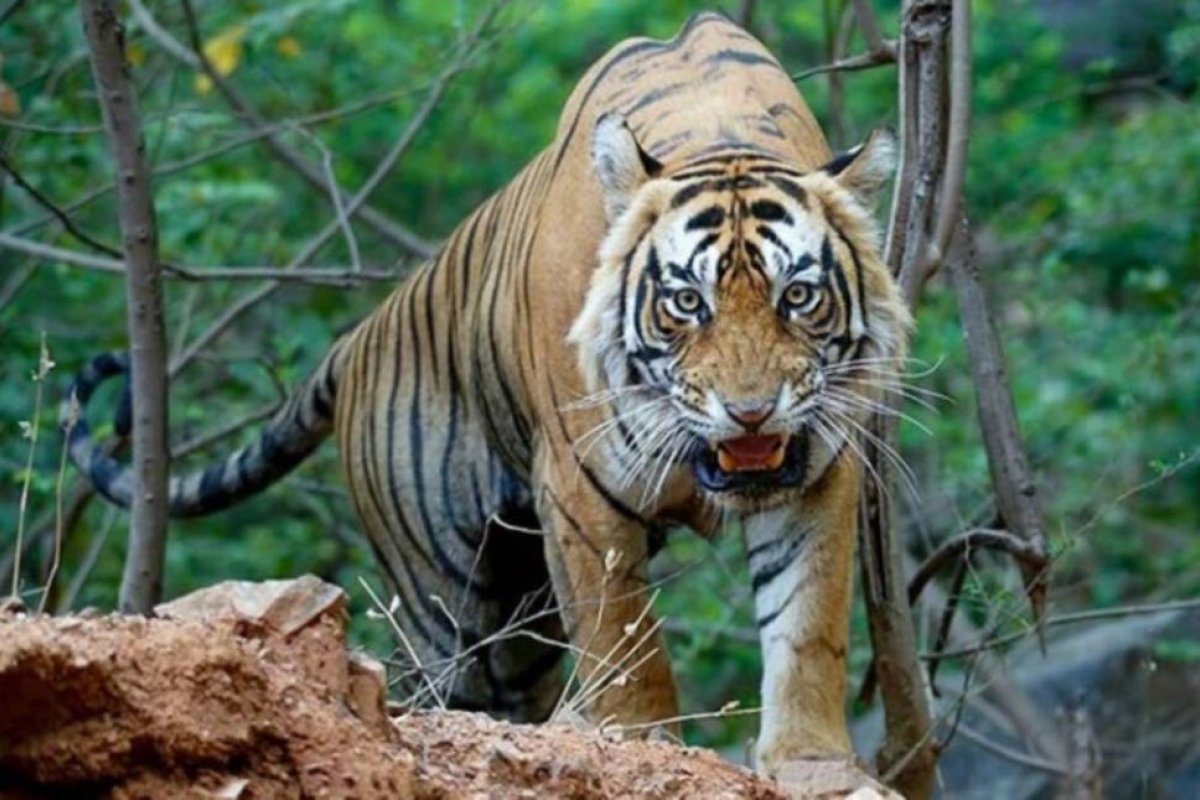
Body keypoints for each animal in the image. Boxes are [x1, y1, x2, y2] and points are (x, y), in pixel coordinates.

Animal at [65, 12, 909, 775]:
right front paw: (645, 746)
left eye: (797, 296)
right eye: (686, 302)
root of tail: (357, 339)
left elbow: (807, 624)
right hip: (446, 601)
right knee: (447, 689)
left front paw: (813, 762)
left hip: (522, 617)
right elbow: (626, 644)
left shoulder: (818, 469)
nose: (751, 411)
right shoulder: (581, 490)